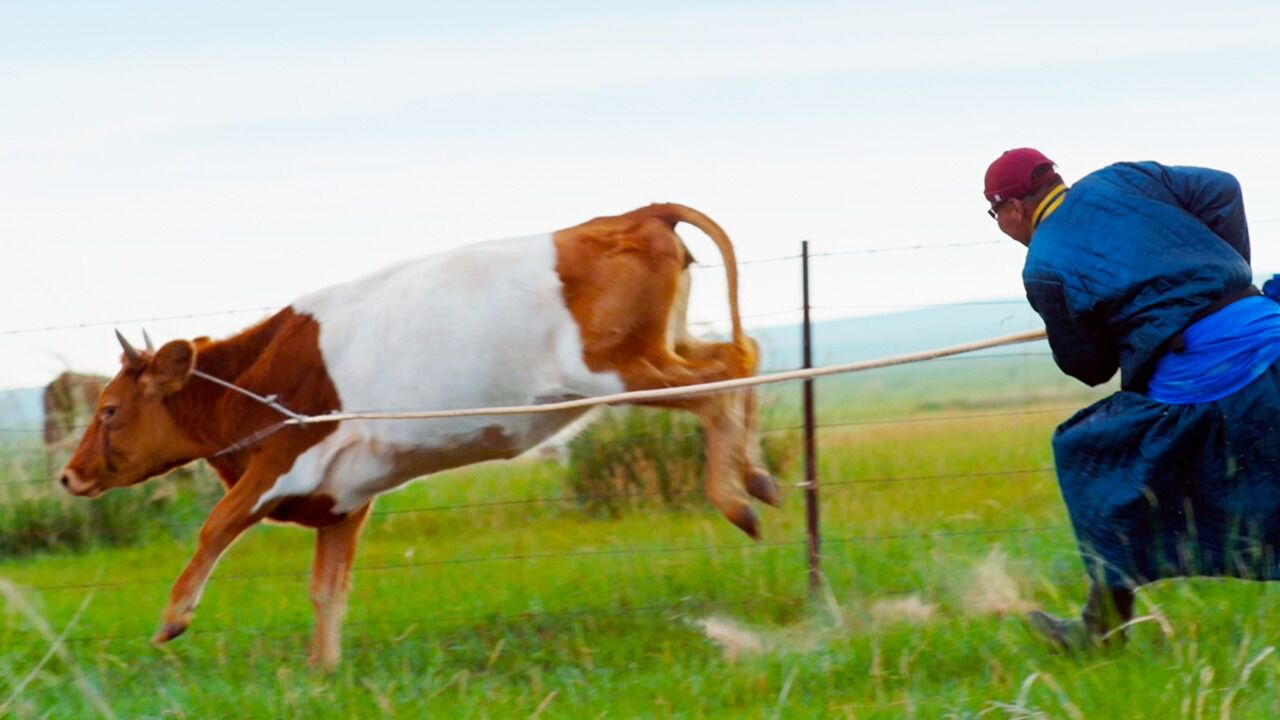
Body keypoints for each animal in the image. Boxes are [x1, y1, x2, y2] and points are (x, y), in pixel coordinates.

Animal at [62, 199, 778, 661]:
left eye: (108, 409)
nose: (69, 474)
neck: (262, 371)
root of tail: (641, 213)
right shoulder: (342, 502)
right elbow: (328, 592)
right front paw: (324, 674)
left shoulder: (282, 458)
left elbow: (216, 526)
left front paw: (172, 619)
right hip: (661, 351)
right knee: (740, 358)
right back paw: (758, 476)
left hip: (621, 368)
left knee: (721, 383)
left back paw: (734, 497)